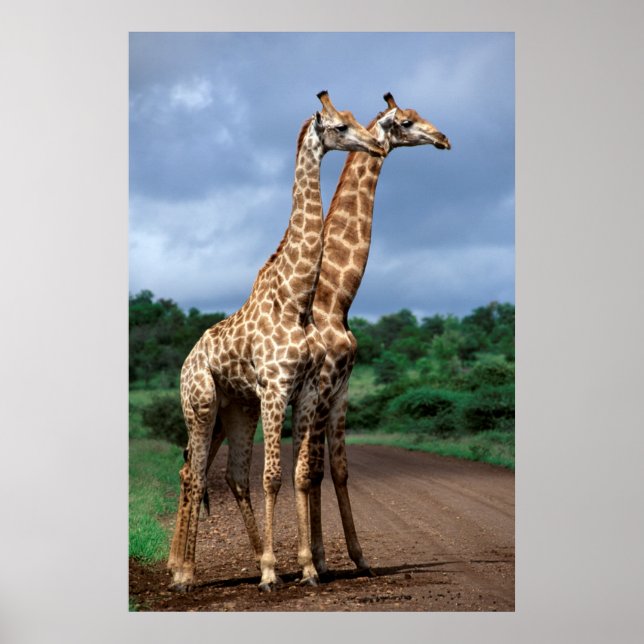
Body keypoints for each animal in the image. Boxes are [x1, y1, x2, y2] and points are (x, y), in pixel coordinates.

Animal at [166, 91, 386, 592]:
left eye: (354, 120)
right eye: (339, 127)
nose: (374, 144)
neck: (296, 298)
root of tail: (186, 361)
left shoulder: (303, 391)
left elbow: (299, 472)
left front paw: (304, 568)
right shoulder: (275, 387)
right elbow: (273, 477)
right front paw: (271, 572)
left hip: (237, 408)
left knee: (225, 474)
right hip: (201, 403)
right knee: (195, 474)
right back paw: (185, 574)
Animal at [308, 92, 451, 577]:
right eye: (405, 121)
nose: (444, 138)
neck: (335, 300)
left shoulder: (342, 389)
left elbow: (337, 469)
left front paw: (359, 559)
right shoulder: (320, 388)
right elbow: (310, 470)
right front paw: (318, 563)